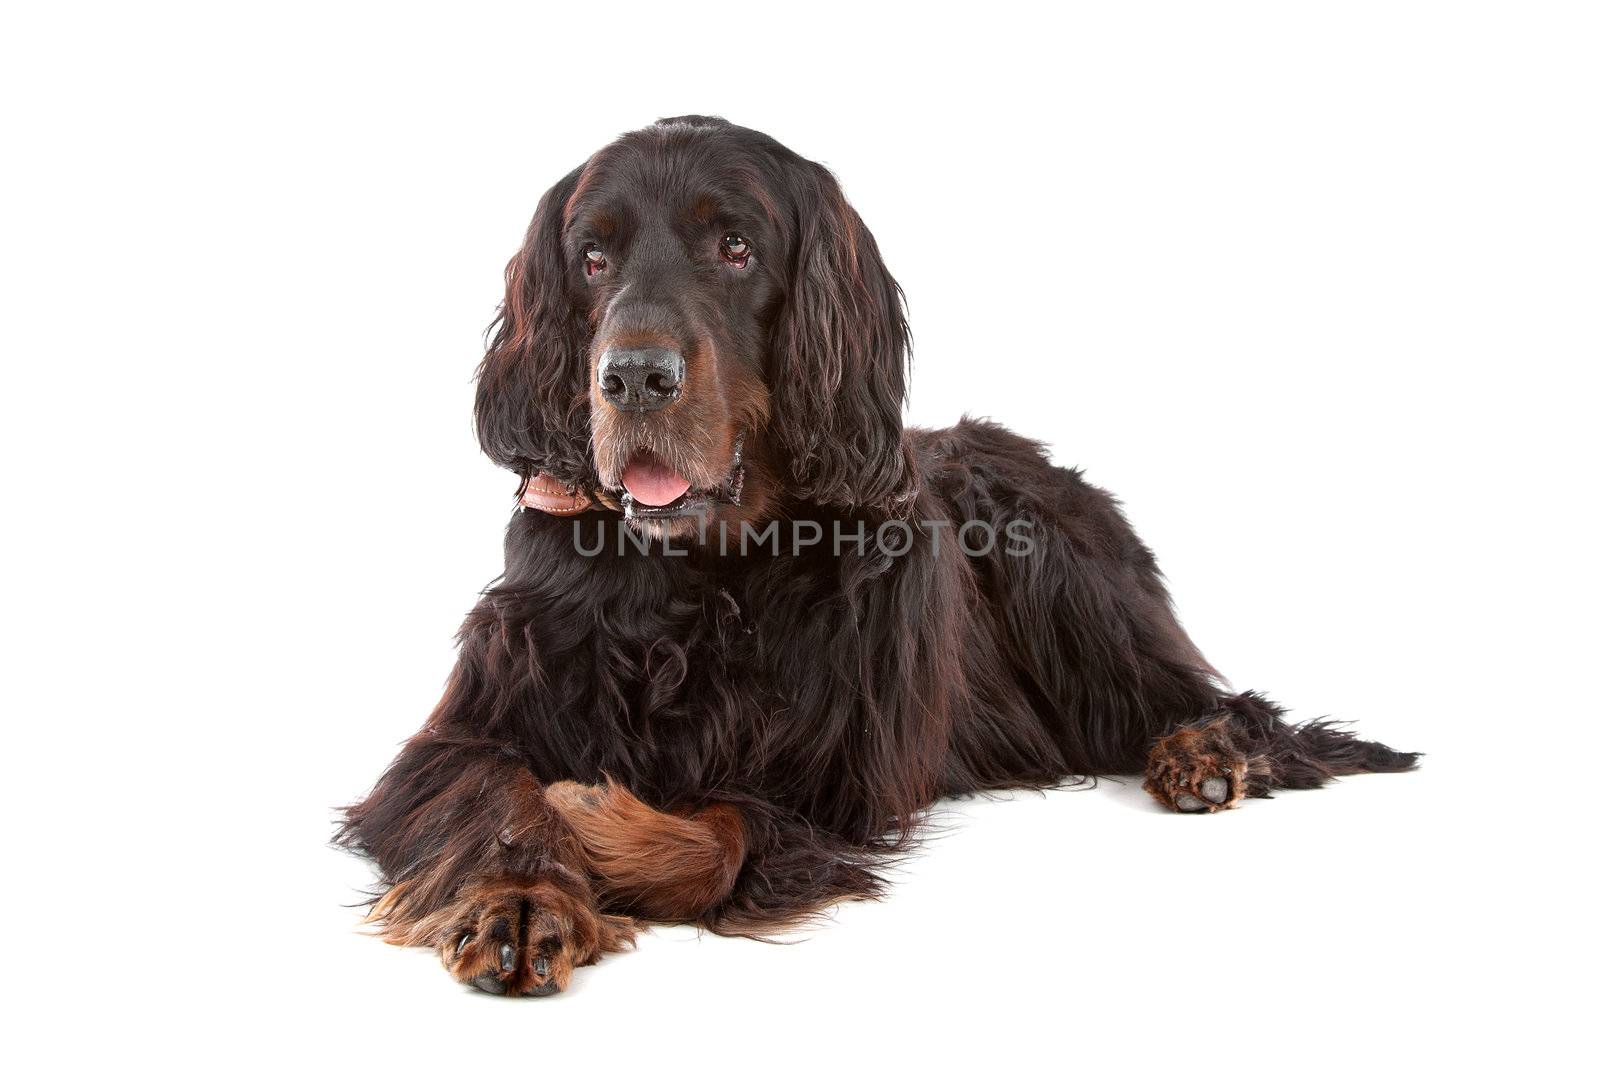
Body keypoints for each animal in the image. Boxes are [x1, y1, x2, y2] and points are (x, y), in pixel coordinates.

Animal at [334, 119, 1414, 1004]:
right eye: (591, 257)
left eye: (736, 246)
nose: (634, 376)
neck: (700, 574)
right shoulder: (473, 719)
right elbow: (494, 790)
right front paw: (521, 895)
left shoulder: (841, 775)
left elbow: (720, 836)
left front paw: (597, 823)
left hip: (1057, 568)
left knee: (1227, 700)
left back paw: (1203, 752)